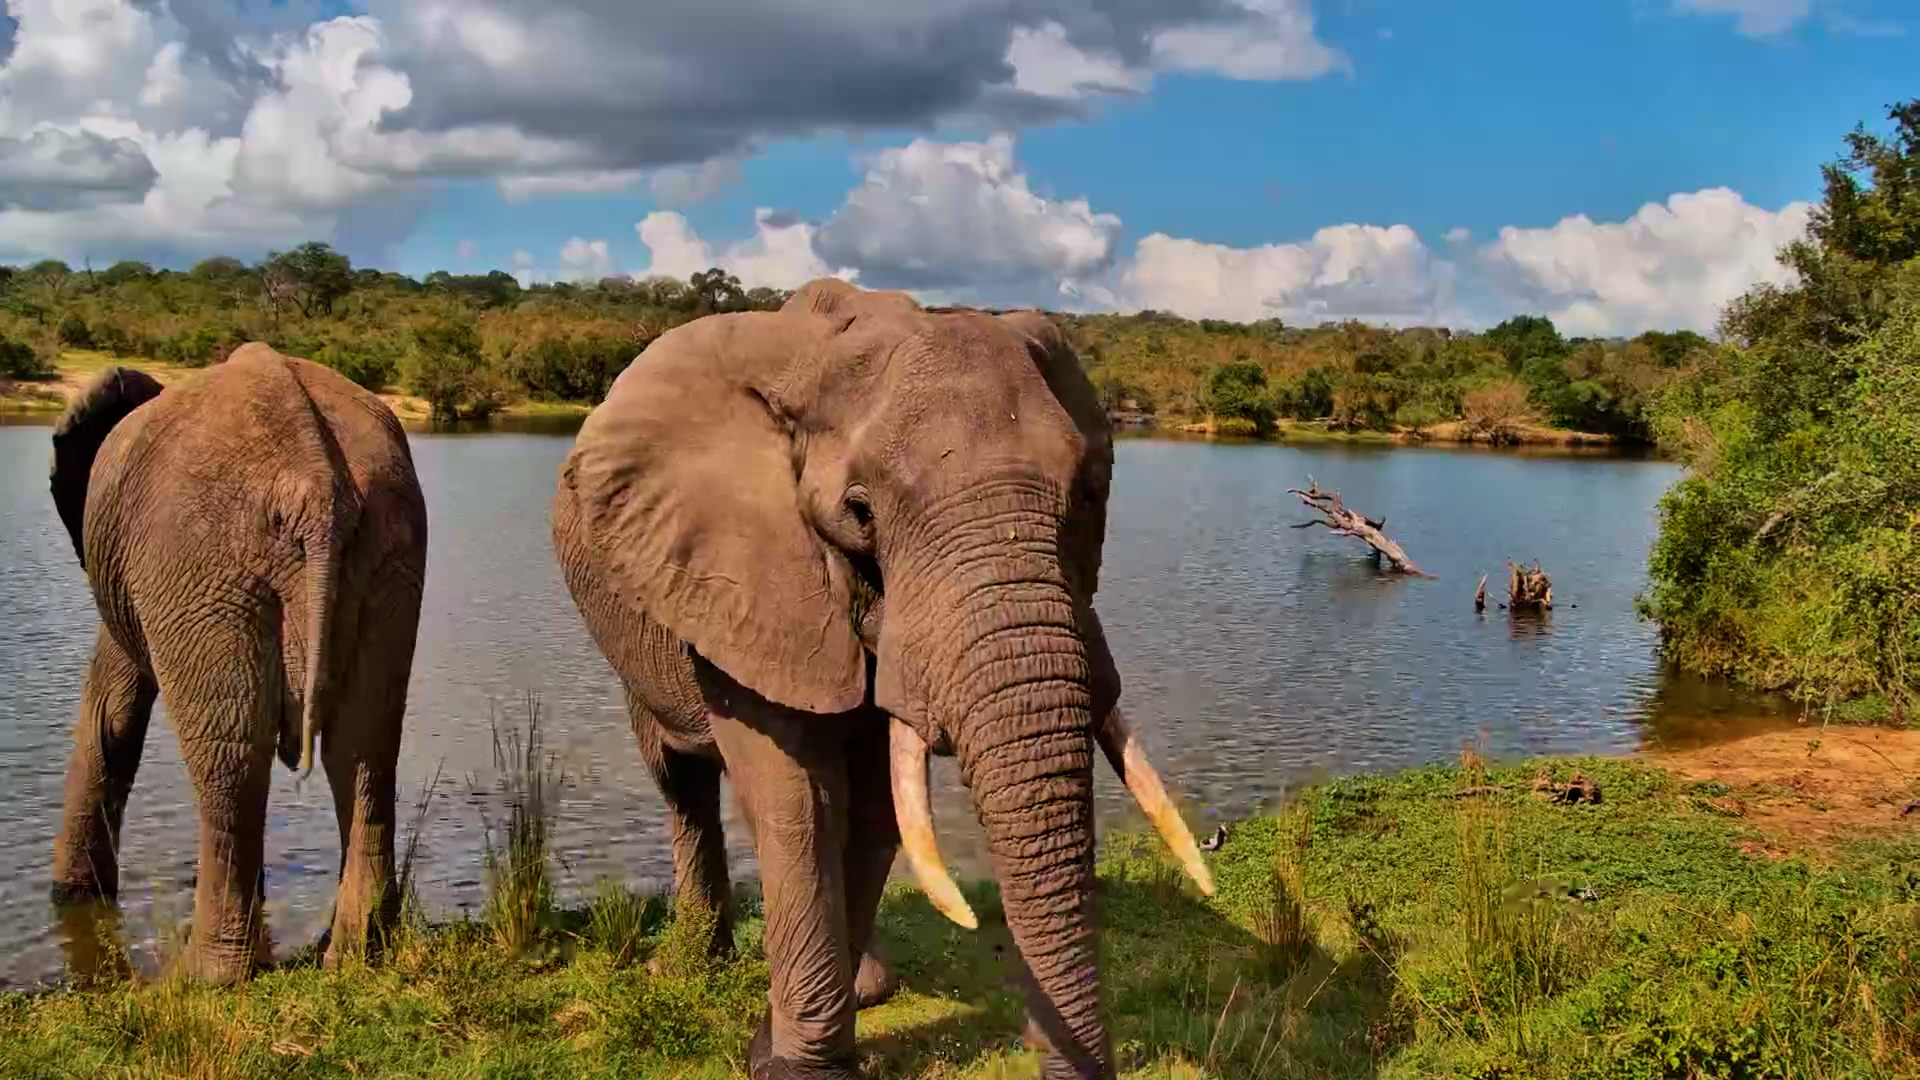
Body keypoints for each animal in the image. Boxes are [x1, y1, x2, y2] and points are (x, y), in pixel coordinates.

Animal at [47, 344, 428, 985]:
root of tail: (314, 485)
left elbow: (111, 712)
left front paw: (71, 895)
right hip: (387, 549)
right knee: (364, 749)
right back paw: (356, 952)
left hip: (198, 561)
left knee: (230, 762)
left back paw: (208, 977)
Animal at [552, 278, 1212, 1079]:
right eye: (859, 512)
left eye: (1087, 494)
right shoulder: (746, 577)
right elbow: (799, 799)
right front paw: (791, 1067)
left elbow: (873, 803)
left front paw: (804, 1037)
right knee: (680, 779)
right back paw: (688, 966)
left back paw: (868, 987)